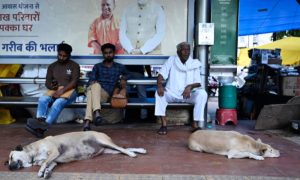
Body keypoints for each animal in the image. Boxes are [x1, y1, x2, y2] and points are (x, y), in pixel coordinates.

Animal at [6, 131, 146, 179]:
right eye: (8, 161)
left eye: (11, 157)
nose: (9, 167)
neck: (33, 153)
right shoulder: (54, 161)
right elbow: (49, 164)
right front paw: (46, 172)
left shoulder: (54, 151)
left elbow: (45, 162)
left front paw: (41, 171)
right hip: (109, 150)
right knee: (122, 149)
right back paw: (138, 150)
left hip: (104, 141)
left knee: (122, 148)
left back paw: (132, 154)